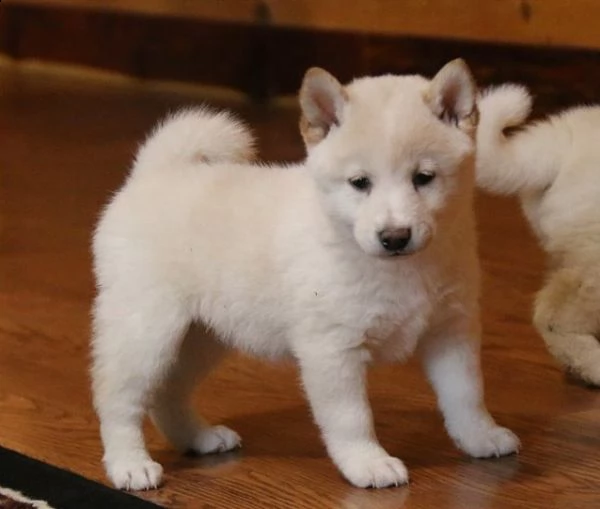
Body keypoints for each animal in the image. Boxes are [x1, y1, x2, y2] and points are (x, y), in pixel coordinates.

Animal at [92, 60, 520, 492]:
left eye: (424, 177)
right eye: (360, 183)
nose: (395, 237)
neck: (395, 270)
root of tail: (153, 173)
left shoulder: (450, 331)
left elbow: (466, 394)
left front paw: (481, 436)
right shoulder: (332, 349)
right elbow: (352, 418)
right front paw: (368, 463)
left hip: (203, 336)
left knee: (168, 393)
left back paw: (198, 437)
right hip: (147, 332)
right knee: (118, 399)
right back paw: (129, 463)